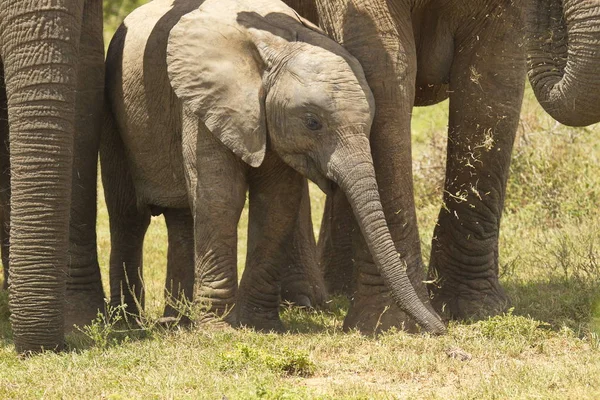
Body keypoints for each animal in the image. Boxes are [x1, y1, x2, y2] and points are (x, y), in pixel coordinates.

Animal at [101, 0, 442, 332]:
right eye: (312, 122)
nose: (439, 327)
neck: (278, 44)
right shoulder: (204, 102)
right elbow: (221, 196)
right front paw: (218, 330)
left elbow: (277, 201)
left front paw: (260, 325)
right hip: (115, 113)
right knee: (128, 215)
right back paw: (127, 323)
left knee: (181, 219)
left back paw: (177, 322)